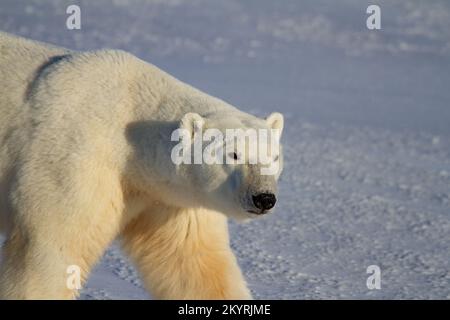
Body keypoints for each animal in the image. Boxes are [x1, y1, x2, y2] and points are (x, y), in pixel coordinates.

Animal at [0, 31, 284, 298]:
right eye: (233, 154)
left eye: (274, 157)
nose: (264, 198)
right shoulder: (73, 160)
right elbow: (51, 251)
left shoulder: (168, 199)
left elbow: (194, 263)